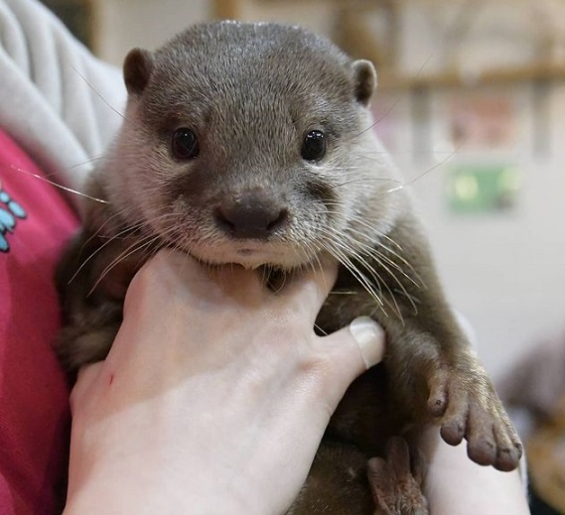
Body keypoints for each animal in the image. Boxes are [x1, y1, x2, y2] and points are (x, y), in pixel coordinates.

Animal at [55, 22, 524, 512]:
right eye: (184, 139)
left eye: (313, 141)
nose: (251, 210)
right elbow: (77, 292)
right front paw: (122, 257)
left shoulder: (398, 249)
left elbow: (435, 335)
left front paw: (477, 403)